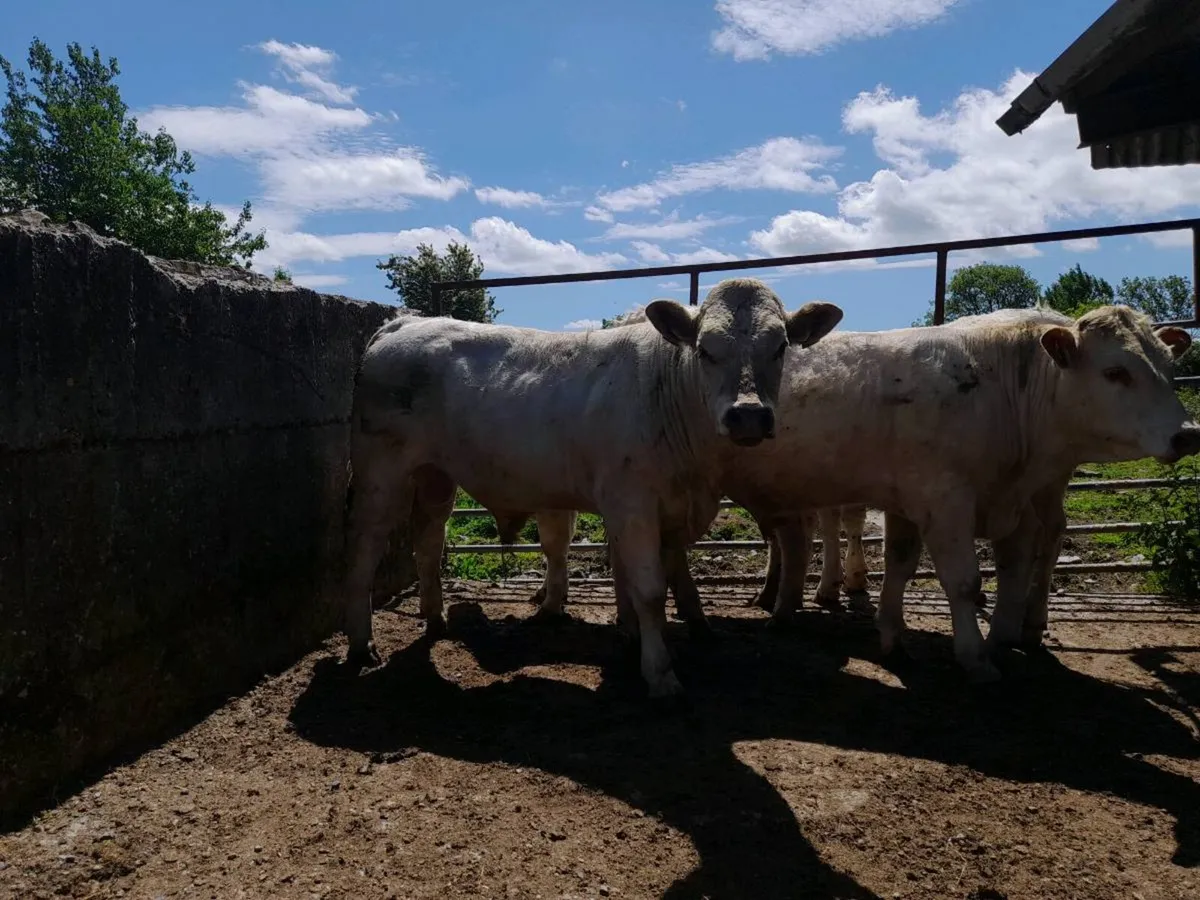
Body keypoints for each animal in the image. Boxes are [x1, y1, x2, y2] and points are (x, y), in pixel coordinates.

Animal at [341, 278, 844, 699]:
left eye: (780, 347)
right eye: (705, 349)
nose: (748, 416)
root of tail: (405, 323)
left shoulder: (670, 509)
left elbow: (654, 578)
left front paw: (636, 637)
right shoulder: (632, 504)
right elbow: (648, 588)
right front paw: (660, 673)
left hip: (436, 475)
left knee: (428, 542)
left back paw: (435, 619)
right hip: (380, 471)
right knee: (364, 547)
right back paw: (361, 645)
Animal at [716, 304, 1200, 681]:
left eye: (1169, 368)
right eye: (1116, 371)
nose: (1188, 434)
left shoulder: (961, 502)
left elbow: (916, 566)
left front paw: (901, 637)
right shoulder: (944, 503)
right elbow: (964, 581)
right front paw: (975, 657)